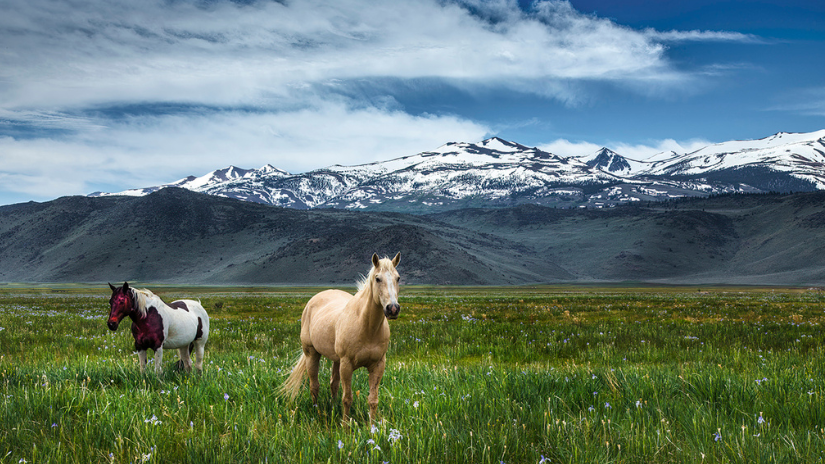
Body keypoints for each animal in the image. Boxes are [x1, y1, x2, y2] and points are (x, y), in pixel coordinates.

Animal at [282, 254, 400, 424]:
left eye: (398, 278)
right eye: (377, 278)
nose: (393, 309)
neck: (367, 327)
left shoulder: (378, 365)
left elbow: (373, 400)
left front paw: (372, 427)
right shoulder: (347, 365)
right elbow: (347, 399)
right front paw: (345, 426)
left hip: (336, 360)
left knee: (334, 384)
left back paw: (332, 406)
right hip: (312, 353)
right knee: (314, 386)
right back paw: (317, 412)